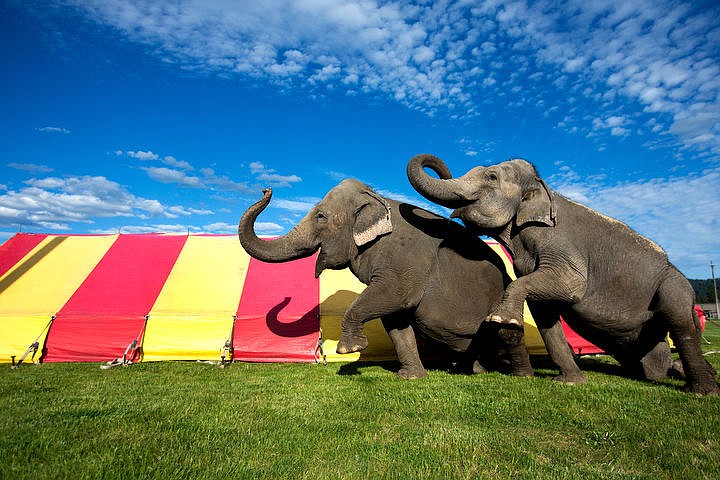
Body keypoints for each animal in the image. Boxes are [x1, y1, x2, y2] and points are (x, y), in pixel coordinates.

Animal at [238, 177, 536, 378]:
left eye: (321, 216)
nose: (266, 189)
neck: (378, 199)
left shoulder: (405, 258)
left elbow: (396, 297)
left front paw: (349, 350)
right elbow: (395, 321)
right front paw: (411, 377)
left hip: (502, 299)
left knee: (507, 332)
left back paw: (521, 376)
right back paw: (474, 371)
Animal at [408, 153, 716, 394]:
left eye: (492, 177)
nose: (444, 170)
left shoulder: (560, 242)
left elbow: (571, 286)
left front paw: (502, 319)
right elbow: (545, 314)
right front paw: (569, 382)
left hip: (673, 284)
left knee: (680, 321)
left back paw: (702, 390)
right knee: (654, 364)